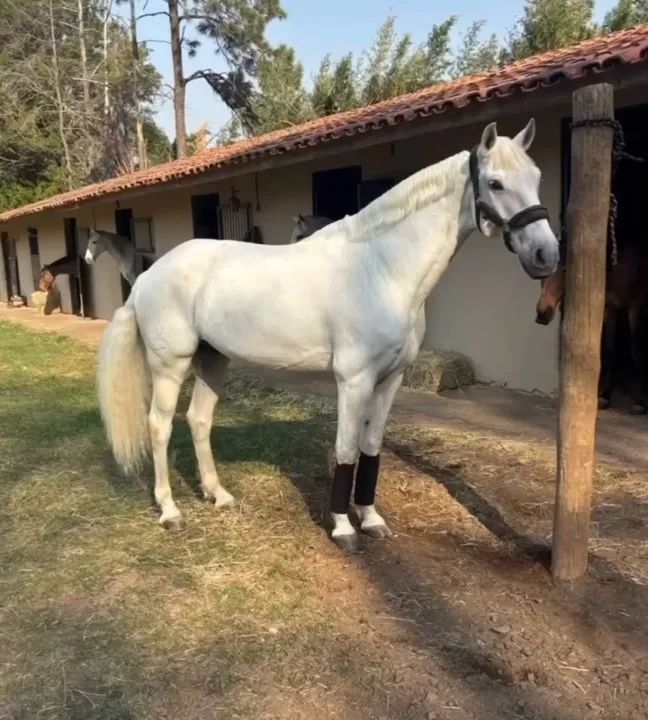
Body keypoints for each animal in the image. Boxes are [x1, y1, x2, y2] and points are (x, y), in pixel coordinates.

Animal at [97, 120, 558, 551]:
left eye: (537, 176)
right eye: (495, 183)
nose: (546, 255)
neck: (381, 269)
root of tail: (147, 277)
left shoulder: (391, 380)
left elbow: (371, 446)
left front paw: (371, 519)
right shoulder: (353, 381)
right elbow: (346, 448)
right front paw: (343, 528)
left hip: (213, 359)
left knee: (198, 420)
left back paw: (218, 495)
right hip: (170, 365)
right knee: (159, 425)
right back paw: (170, 511)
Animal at [535, 245, 648, 414]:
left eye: (565, 269)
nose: (542, 313)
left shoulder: (636, 307)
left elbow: (636, 351)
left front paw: (640, 402)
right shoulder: (609, 307)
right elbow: (609, 350)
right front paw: (604, 396)